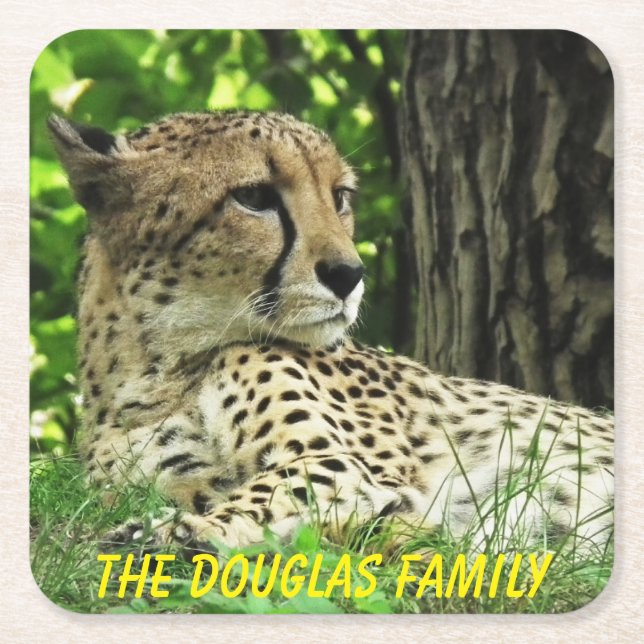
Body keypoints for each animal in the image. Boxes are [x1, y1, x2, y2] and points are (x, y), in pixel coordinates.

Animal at [48, 110, 614, 556]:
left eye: (339, 196)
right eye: (253, 196)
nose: (349, 274)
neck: (154, 369)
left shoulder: (341, 466)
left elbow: (268, 497)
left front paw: (171, 534)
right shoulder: (170, 478)